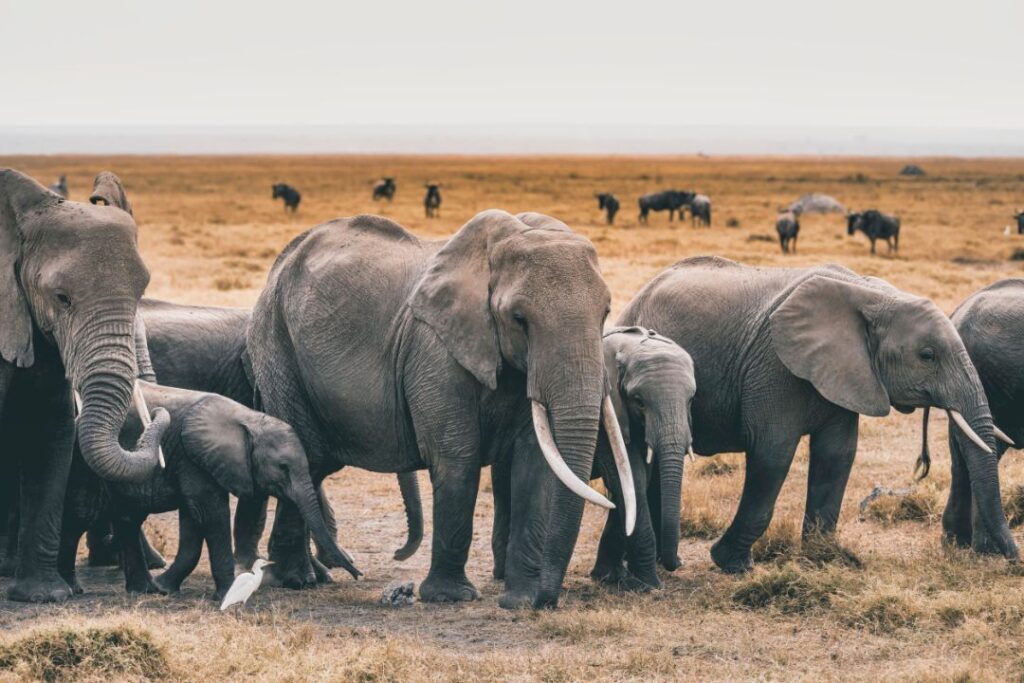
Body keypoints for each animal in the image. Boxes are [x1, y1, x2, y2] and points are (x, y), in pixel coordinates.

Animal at [58, 382, 358, 600]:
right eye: (283, 467)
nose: (358, 575)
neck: (248, 419)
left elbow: (193, 523)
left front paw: (165, 588)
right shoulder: (193, 458)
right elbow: (211, 514)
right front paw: (226, 594)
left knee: (128, 519)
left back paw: (145, 590)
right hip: (82, 465)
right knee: (81, 516)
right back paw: (73, 588)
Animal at [246, 209, 635, 607]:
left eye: (605, 313)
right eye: (519, 319)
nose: (547, 599)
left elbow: (534, 462)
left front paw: (521, 600)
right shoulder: (434, 349)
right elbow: (457, 455)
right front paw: (452, 596)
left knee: (311, 466)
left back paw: (300, 577)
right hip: (276, 345)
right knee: (304, 455)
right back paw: (296, 580)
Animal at [491, 326, 696, 607]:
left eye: (690, 400)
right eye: (639, 401)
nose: (674, 563)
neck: (628, 346)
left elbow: (631, 485)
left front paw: (611, 578)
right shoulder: (608, 419)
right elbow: (630, 481)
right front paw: (648, 585)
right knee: (504, 491)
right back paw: (502, 575)